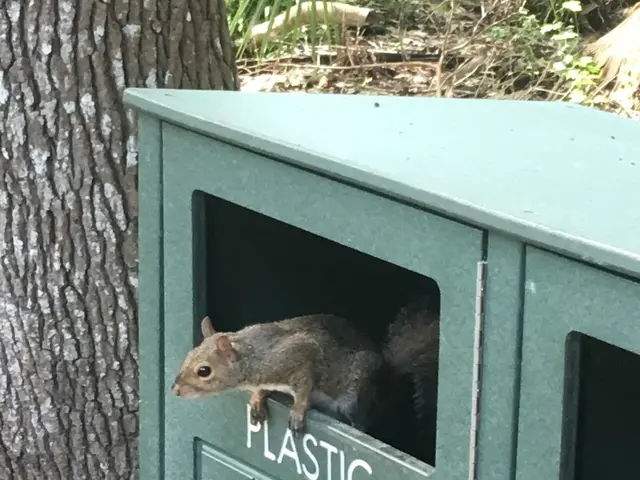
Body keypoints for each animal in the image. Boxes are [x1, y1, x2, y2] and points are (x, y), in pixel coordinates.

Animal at [171, 314, 383, 437]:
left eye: (204, 371)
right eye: (189, 354)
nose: (175, 390)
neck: (255, 355)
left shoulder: (302, 354)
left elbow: (304, 387)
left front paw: (297, 411)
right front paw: (257, 399)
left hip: (356, 394)